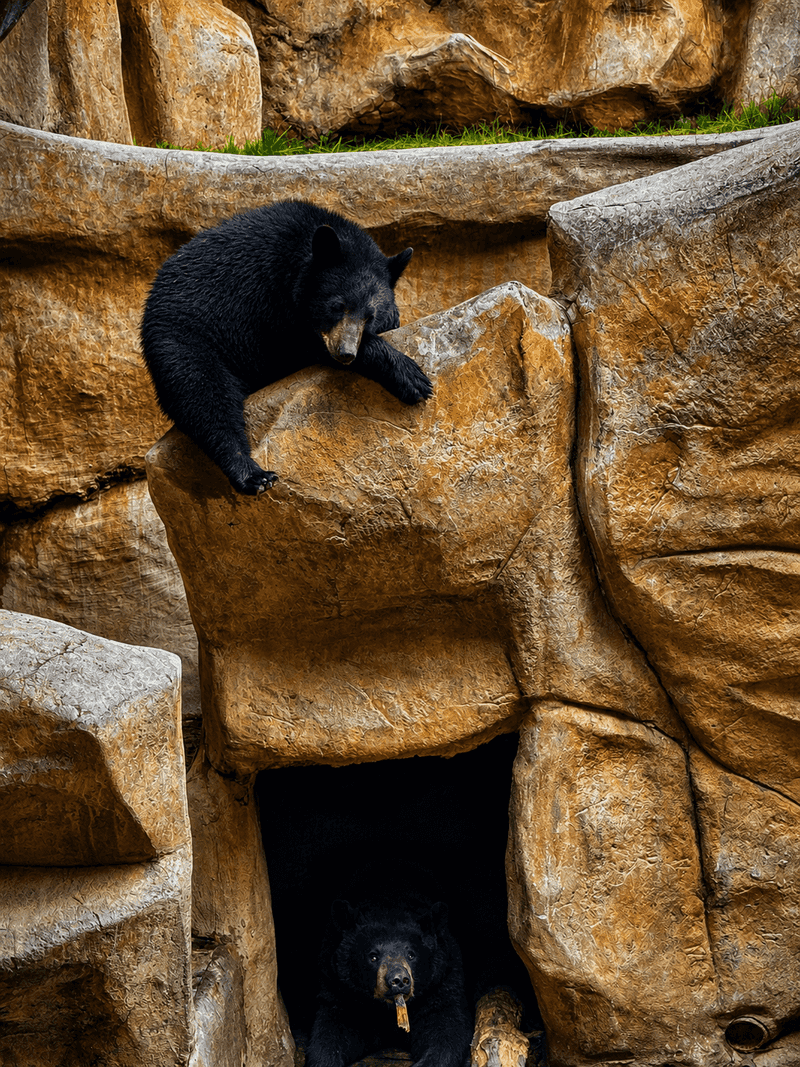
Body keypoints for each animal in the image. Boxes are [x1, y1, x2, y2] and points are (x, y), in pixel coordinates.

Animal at [140, 199, 432, 495]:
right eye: (337, 306)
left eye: (369, 316)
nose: (345, 353)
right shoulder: (270, 304)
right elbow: (300, 344)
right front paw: (411, 377)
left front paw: (393, 321)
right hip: (184, 341)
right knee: (202, 395)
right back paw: (252, 473)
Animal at [306, 895, 473, 1067]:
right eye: (373, 956)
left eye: (411, 955)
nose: (399, 980)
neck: (386, 1010)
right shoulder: (337, 988)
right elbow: (332, 1033)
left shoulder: (442, 986)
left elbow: (446, 1030)